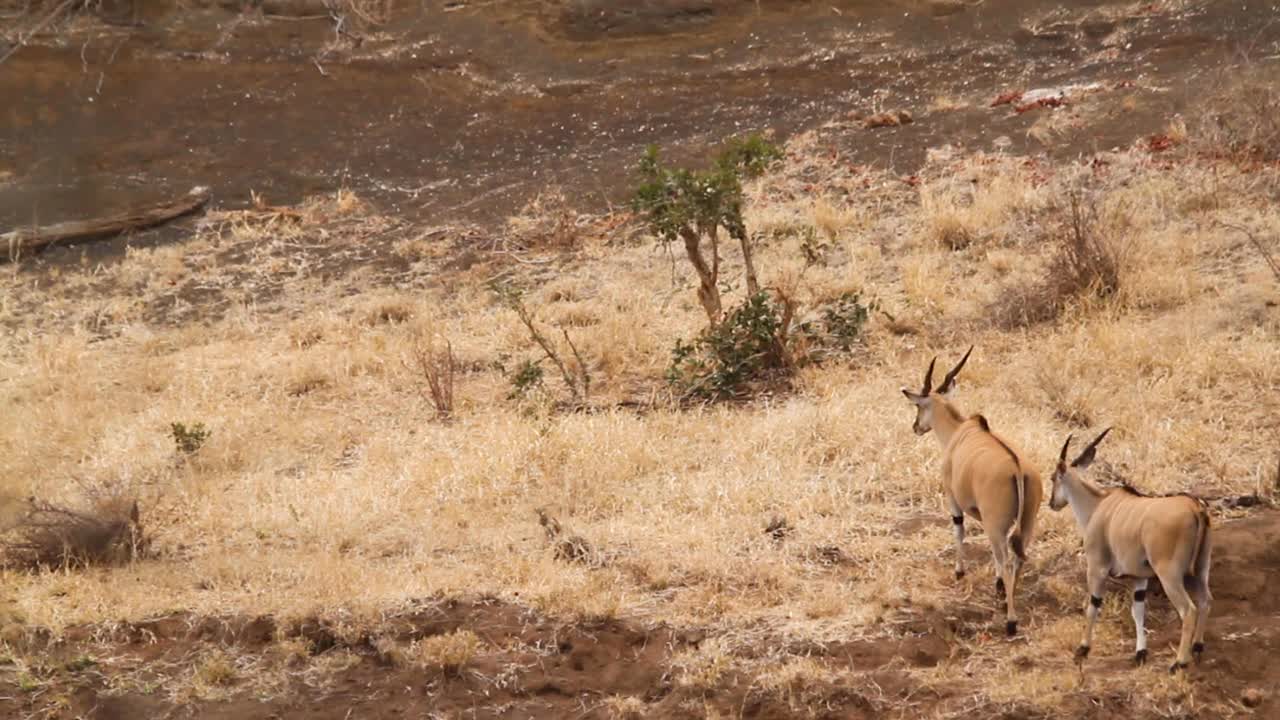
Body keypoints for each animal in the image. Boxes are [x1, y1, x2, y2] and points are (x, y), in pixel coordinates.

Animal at [901, 348, 1039, 632]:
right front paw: (997, 586)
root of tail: (1018, 468)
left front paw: (959, 571)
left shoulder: (953, 501)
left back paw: (1011, 621)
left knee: (1007, 559)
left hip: (997, 524)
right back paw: (1007, 600)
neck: (960, 431)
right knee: (1017, 559)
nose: (916, 427)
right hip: (1025, 524)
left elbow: (959, 531)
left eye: (918, 405)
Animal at [1044, 425, 1213, 666]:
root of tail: (1195, 508)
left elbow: (1093, 605)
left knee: (1188, 610)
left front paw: (1082, 649)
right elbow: (1138, 611)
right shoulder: (1139, 577)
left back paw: (1179, 662)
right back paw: (1197, 648)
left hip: (1169, 574)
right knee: (1206, 601)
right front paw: (1140, 652)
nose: (1052, 503)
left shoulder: (1096, 568)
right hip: (1200, 569)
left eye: (1053, 477)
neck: (1098, 505)